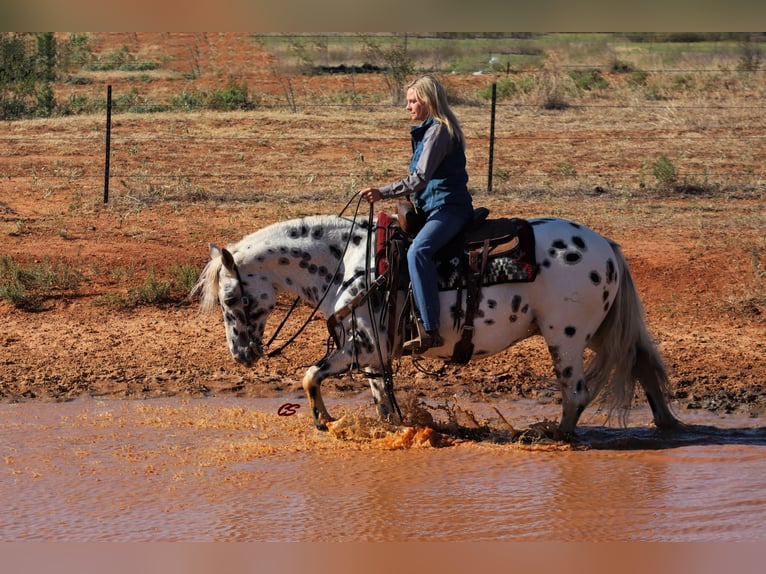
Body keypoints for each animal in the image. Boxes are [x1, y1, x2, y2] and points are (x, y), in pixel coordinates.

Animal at [194, 214, 684, 438]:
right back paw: (666, 423)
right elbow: (374, 397)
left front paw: (326, 420)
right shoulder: (371, 354)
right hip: (598, 331)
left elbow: (313, 375)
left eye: (230, 299)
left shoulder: (363, 348)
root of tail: (606, 246)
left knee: (577, 393)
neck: (346, 262)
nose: (242, 355)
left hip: (564, 338)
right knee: (641, 362)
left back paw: (553, 435)